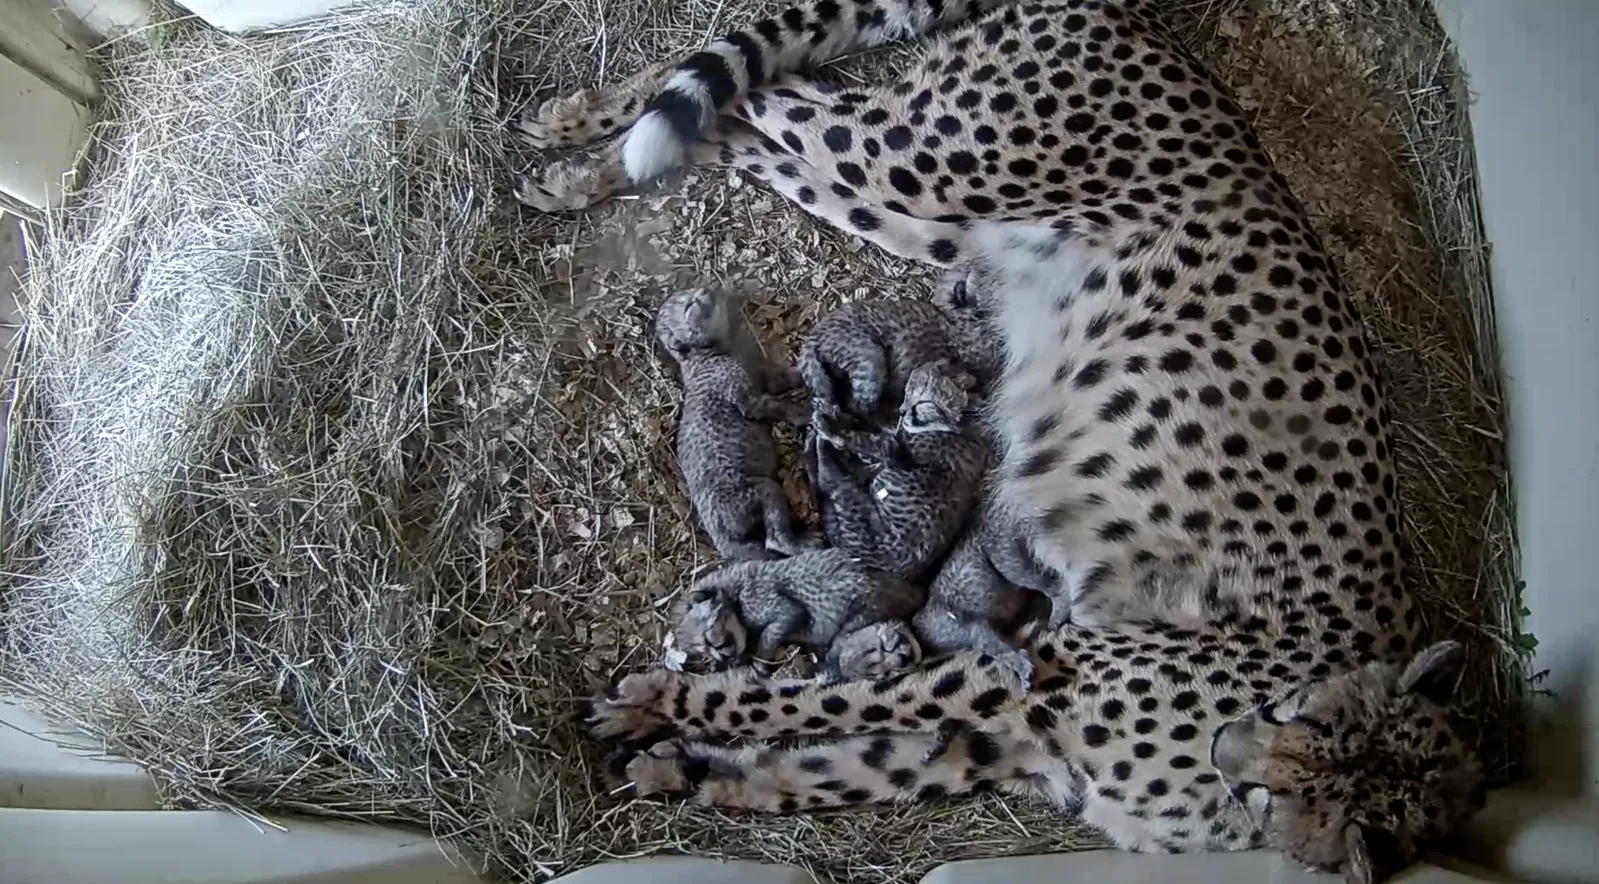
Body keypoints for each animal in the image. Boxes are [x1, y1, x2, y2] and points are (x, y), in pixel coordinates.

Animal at [656, 287, 814, 561]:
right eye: (689, 306)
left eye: (688, 294)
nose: (704, 290)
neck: (708, 356)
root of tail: (721, 539)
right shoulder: (749, 401)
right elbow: (780, 406)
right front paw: (807, 412)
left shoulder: (765, 378)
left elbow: (787, 377)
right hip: (761, 490)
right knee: (773, 539)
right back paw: (803, 544)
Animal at [672, 547, 925, 679]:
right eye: (701, 652)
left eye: (707, 637)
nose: (723, 655)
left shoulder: (786, 609)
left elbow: (770, 634)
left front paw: (759, 664)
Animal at [812, 360, 989, 582]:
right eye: (909, 391)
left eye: (923, 403)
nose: (902, 411)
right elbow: (871, 427)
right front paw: (843, 417)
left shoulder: (894, 454)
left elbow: (868, 440)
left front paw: (832, 428)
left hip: (853, 503)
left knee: (827, 478)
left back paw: (820, 440)